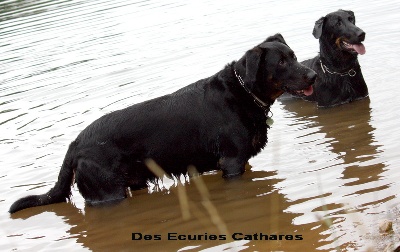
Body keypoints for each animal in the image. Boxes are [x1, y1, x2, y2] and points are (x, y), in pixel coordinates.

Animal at [9, 33, 316, 214]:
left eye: (294, 57)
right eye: (281, 63)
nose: (313, 75)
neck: (244, 92)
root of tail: (74, 145)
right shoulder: (231, 162)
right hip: (107, 192)